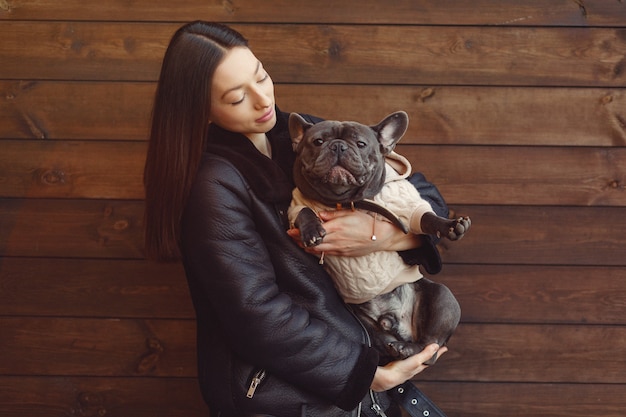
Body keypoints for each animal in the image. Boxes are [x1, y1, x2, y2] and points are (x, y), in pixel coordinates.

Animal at [288, 111, 468, 364]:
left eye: (361, 144)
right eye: (318, 141)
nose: (338, 146)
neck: (344, 199)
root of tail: (398, 325)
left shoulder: (405, 201)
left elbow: (425, 217)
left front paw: (451, 226)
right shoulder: (296, 204)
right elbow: (303, 211)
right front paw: (312, 231)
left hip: (442, 298)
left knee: (429, 346)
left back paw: (406, 348)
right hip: (366, 324)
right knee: (387, 341)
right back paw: (396, 347)